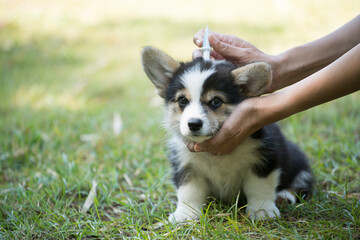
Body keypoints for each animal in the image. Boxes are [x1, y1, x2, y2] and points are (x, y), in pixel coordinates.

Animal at [141, 46, 312, 223]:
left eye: (216, 101)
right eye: (182, 100)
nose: (193, 124)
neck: (216, 155)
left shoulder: (264, 159)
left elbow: (260, 187)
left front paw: (262, 210)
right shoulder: (186, 164)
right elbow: (189, 192)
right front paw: (185, 215)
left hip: (299, 161)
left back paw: (285, 195)